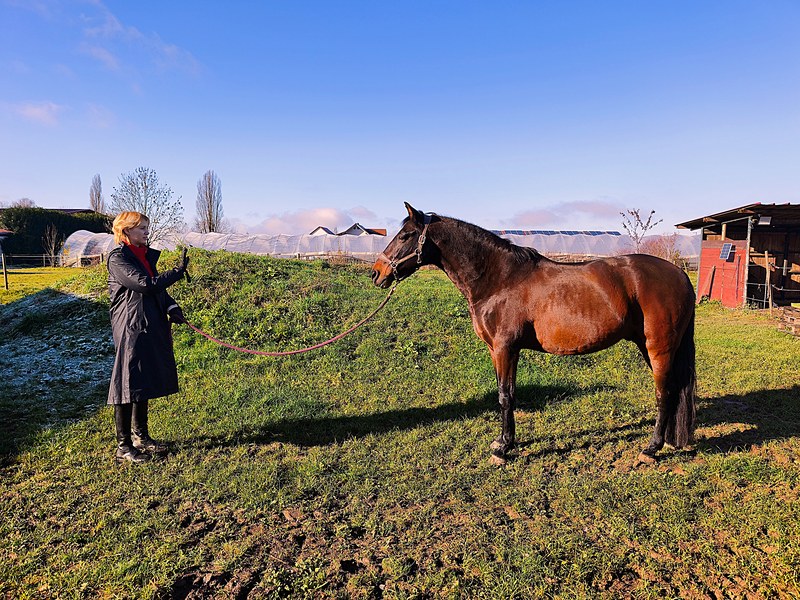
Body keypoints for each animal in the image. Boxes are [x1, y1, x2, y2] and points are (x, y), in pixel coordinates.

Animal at [372, 203, 696, 465]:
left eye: (405, 236)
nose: (377, 273)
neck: (500, 279)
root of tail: (680, 275)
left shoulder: (505, 348)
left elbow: (505, 396)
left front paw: (503, 451)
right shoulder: (500, 350)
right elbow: (508, 393)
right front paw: (505, 441)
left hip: (659, 347)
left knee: (664, 393)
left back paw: (651, 448)